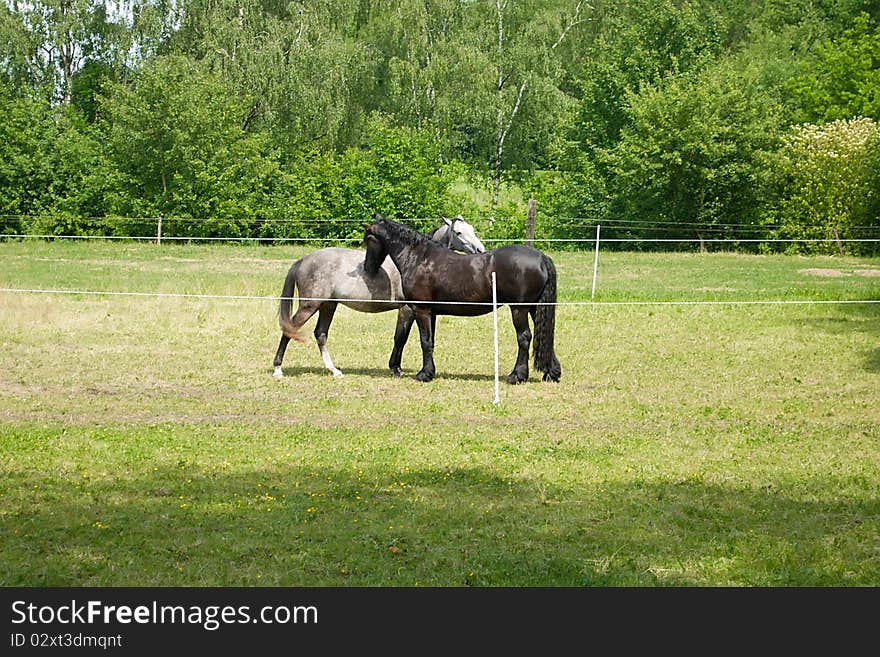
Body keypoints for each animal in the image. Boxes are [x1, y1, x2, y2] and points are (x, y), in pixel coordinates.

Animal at [366, 215, 564, 382]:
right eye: (459, 232)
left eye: (368, 240)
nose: (368, 268)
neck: (420, 258)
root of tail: (541, 257)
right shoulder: (431, 312)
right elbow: (430, 341)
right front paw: (429, 371)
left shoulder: (421, 310)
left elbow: (424, 340)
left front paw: (424, 374)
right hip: (534, 308)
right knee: (546, 335)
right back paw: (551, 373)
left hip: (519, 309)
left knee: (524, 338)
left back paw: (517, 375)